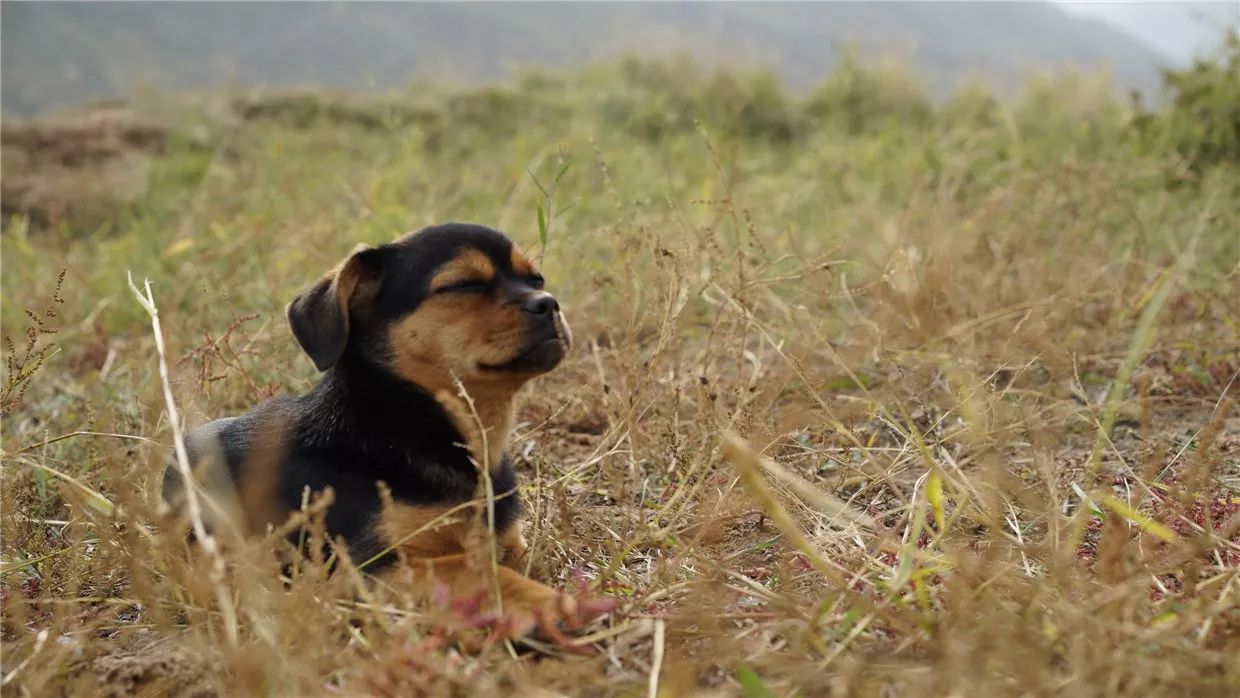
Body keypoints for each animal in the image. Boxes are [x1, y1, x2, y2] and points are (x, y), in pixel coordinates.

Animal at [162, 224, 607, 639]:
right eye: (464, 284)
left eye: (537, 279)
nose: (549, 303)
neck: (409, 423)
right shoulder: (370, 566)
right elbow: (470, 569)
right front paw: (545, 603)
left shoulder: (509, 543)